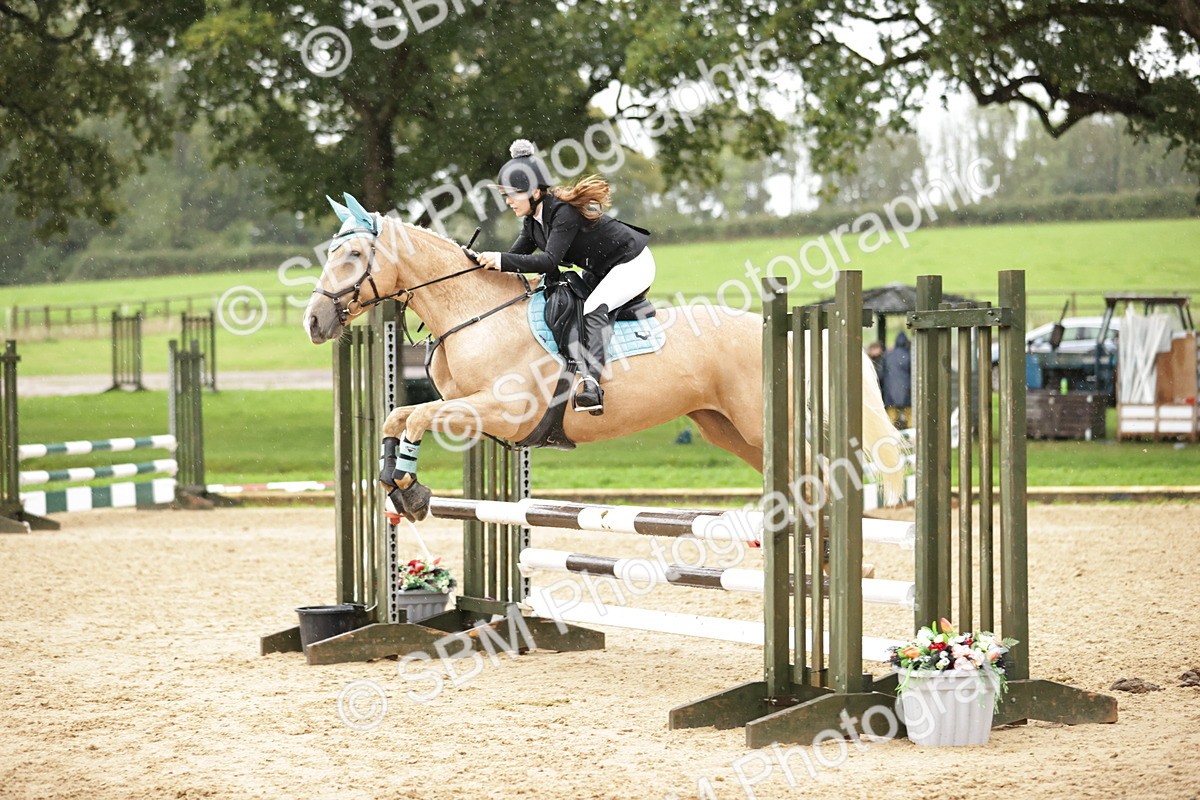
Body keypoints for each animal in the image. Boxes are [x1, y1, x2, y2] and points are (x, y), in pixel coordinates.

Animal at [303, 195, 905, 521]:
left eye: (352, 254)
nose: (313, 322)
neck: (476, 314)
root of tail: (777, 329)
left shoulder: (501, 411)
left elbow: (415, 417)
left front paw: (411, 489)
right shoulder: (468, 409)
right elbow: (397, 415)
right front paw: (399, 486)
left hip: (763, 424)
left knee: (819, 478)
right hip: (728, 430)